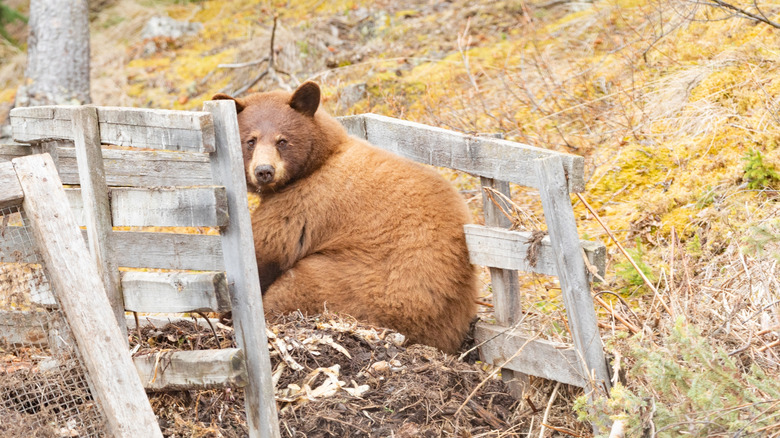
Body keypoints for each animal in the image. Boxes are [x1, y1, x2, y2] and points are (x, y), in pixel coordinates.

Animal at [212, 82, 478, 353]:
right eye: (250, 140)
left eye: (282, 140)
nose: (264, 171)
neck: (321, 159)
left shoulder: (302, 204)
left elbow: (267, 249)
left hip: (359, 286)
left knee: (298, 287)